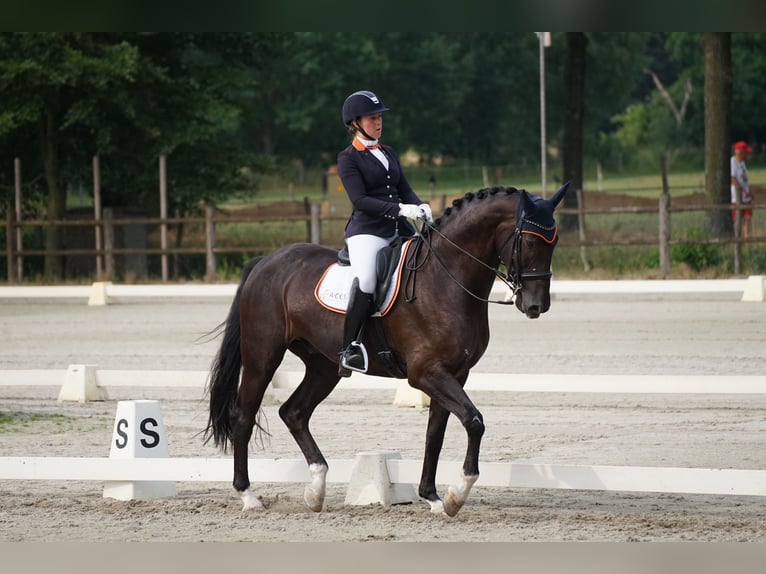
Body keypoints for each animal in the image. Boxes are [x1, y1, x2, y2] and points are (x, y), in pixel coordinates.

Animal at [204, 182, 569, 517]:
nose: (536, 306)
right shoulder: (425, 373)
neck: (445, 279)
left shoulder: (455, 373)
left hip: (323, 365)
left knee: (294, 412)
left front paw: (434, 499)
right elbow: (474, 421)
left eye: (554, 241)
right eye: (531, 240)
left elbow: (435, 434)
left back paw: (316, 490)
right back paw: (249, 497)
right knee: (243, 416)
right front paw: (457, 495)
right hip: (262, 356)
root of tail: (266, 261)